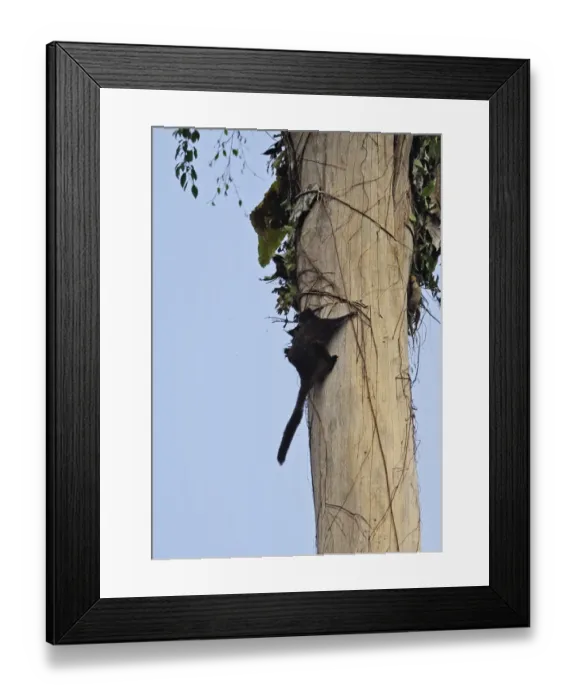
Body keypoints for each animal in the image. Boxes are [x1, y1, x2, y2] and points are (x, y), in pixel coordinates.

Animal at [277, 307, 356, 465]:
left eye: (299, 323)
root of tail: (304, 375)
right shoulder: (322, 323)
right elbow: (335, 322)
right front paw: (350, 314)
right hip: (317, 362)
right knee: (317, 345)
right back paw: (330, 363)